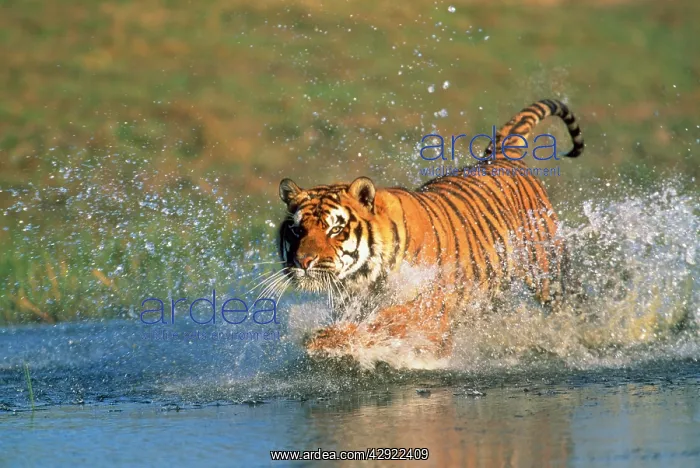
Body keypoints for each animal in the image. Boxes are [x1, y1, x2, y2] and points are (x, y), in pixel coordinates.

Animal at [276, 98, 584, 358]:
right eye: (298, 230)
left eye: (334, 230)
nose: (303, 262)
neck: (366, 278)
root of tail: (499, 157)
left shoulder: (431, 302)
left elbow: (388, 322)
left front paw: (329, 341)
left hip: (551, 273)